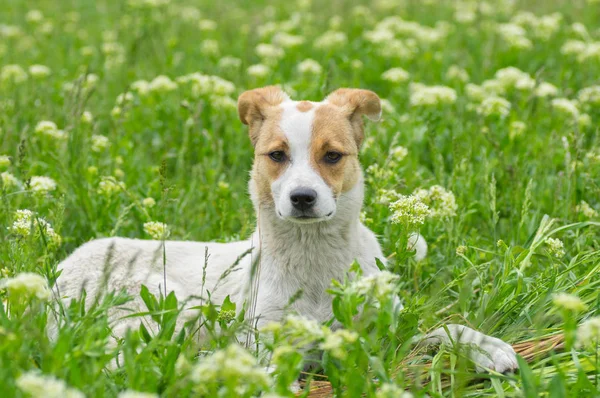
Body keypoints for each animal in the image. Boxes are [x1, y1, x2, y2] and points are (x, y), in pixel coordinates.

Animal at [54, 86, 516, 374]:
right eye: (276, 155)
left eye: (332, 156)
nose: (303, 198)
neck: (314, 260)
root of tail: (55, 273)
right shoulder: (270, 343)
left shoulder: (384, 333)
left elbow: (443, 329)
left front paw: (487, 347)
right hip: (165, 307)